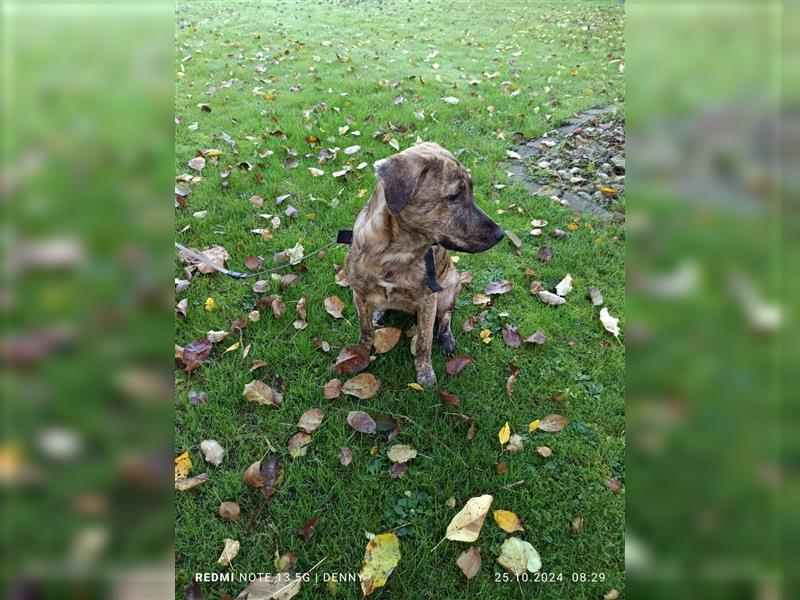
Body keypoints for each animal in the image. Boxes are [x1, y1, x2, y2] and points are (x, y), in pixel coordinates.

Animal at [346, 141, 506, 386]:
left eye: (471, 190)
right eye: (453, 196)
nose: (501, 234)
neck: (395, 254)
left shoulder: (428, 300)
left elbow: (423, 341)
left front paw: (424, 372)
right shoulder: (359, 294)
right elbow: (365, 329)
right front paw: (361, 354)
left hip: (450, 286)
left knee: (446, 315)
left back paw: (446, 337)